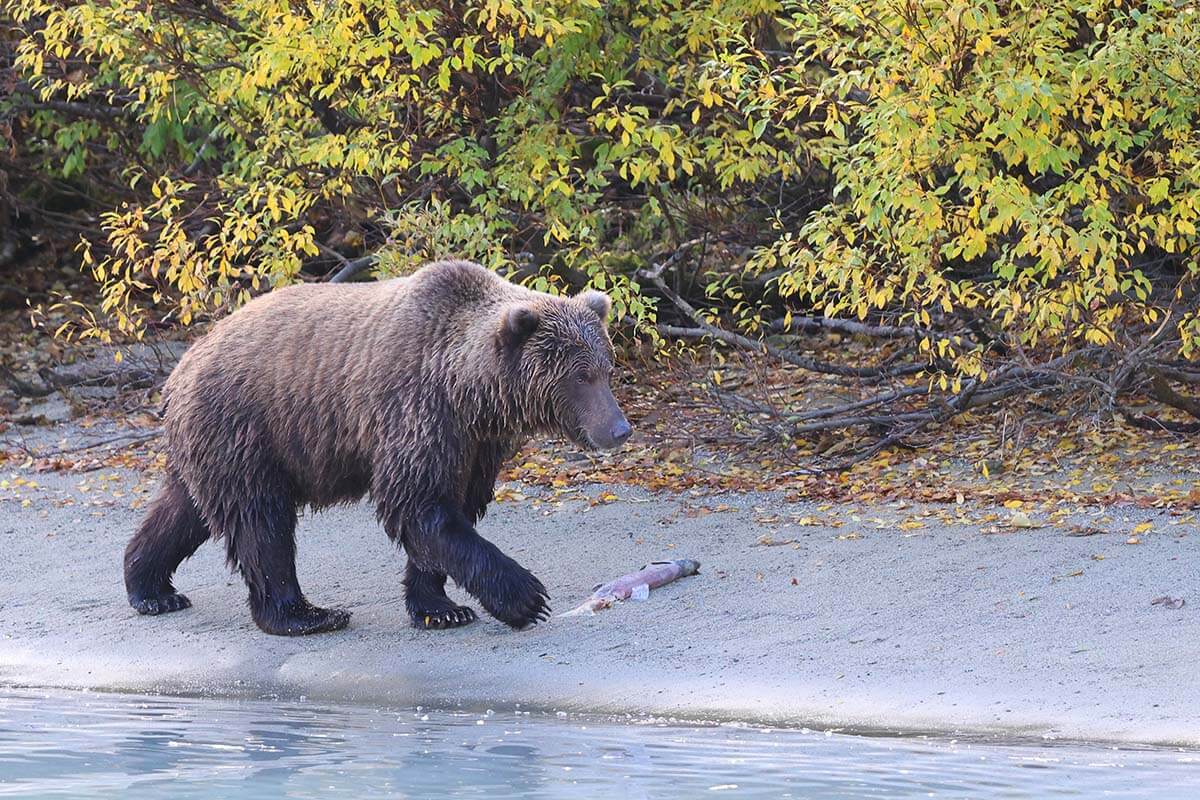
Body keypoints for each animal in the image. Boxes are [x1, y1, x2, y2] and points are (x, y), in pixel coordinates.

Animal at [123, 262, 633, 638]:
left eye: (607, 368)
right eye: (580, 376)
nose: (619, 428)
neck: (471, 392)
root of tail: (182, 365)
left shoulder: (473, 444)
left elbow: (452, 509)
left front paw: (439, 606)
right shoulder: (415, 411)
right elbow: (418, 504)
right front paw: (525, 597)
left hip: (217, 443)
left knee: (184, 510)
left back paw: (151, 588)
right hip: (247, 426)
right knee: (261, 523)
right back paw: (305, 614)